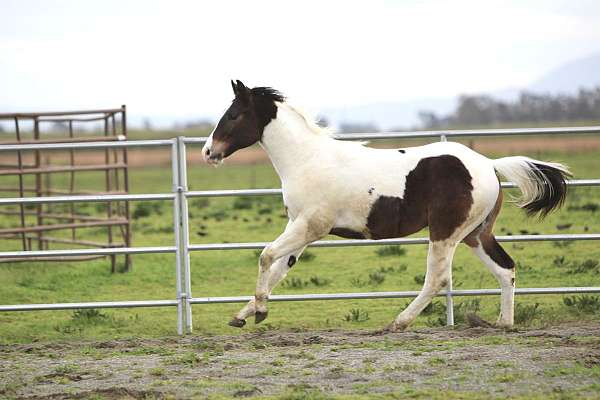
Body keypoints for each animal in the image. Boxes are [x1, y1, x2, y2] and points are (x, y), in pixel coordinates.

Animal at [200, 80, 568, 332]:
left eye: (234, 115)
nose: (208, 152)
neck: (307, 159)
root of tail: (489, 165)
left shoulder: (309, 227)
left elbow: (266, 256)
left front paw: (260, 311)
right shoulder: (300, 230)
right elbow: (278, 268)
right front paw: (243, 315)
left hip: (446, 233)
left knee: (438, 279)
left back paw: (399, 322)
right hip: (475, 234)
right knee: (506, 269)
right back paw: (503, 323)